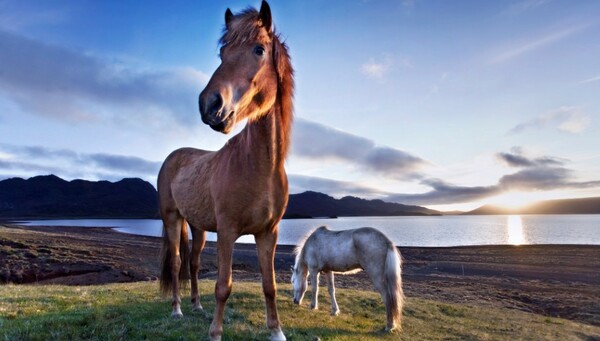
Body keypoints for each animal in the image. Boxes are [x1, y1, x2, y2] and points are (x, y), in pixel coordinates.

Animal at [157, 1, 292, 338]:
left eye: (259, 49)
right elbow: (223, 286)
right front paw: (215, 332)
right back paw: (177, 309)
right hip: (172, 218)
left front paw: (276, 331)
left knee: (192, 263)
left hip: (199, 226)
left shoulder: (268, 233)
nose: (210, 105)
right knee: (177, 263)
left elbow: (269, 285)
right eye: (222, 53)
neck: (259, 167)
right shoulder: (228, 232)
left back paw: (195, 306)